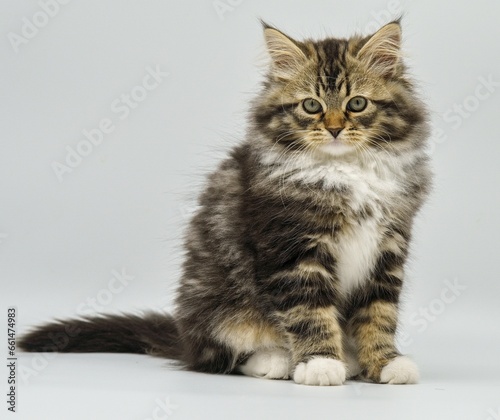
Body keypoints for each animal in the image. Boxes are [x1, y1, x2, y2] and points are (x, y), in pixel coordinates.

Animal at [20, 19, 430, 388]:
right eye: (311, 106)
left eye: (357, 103)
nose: (333, 128)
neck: (346, 170)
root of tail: (185, 337)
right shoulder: (293, 250)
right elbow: (310, 313)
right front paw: (320, 363)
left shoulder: (389, 248)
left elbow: (378, 314)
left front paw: (385, 362)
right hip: (222, 305)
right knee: (220, 356)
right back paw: (280, 360)